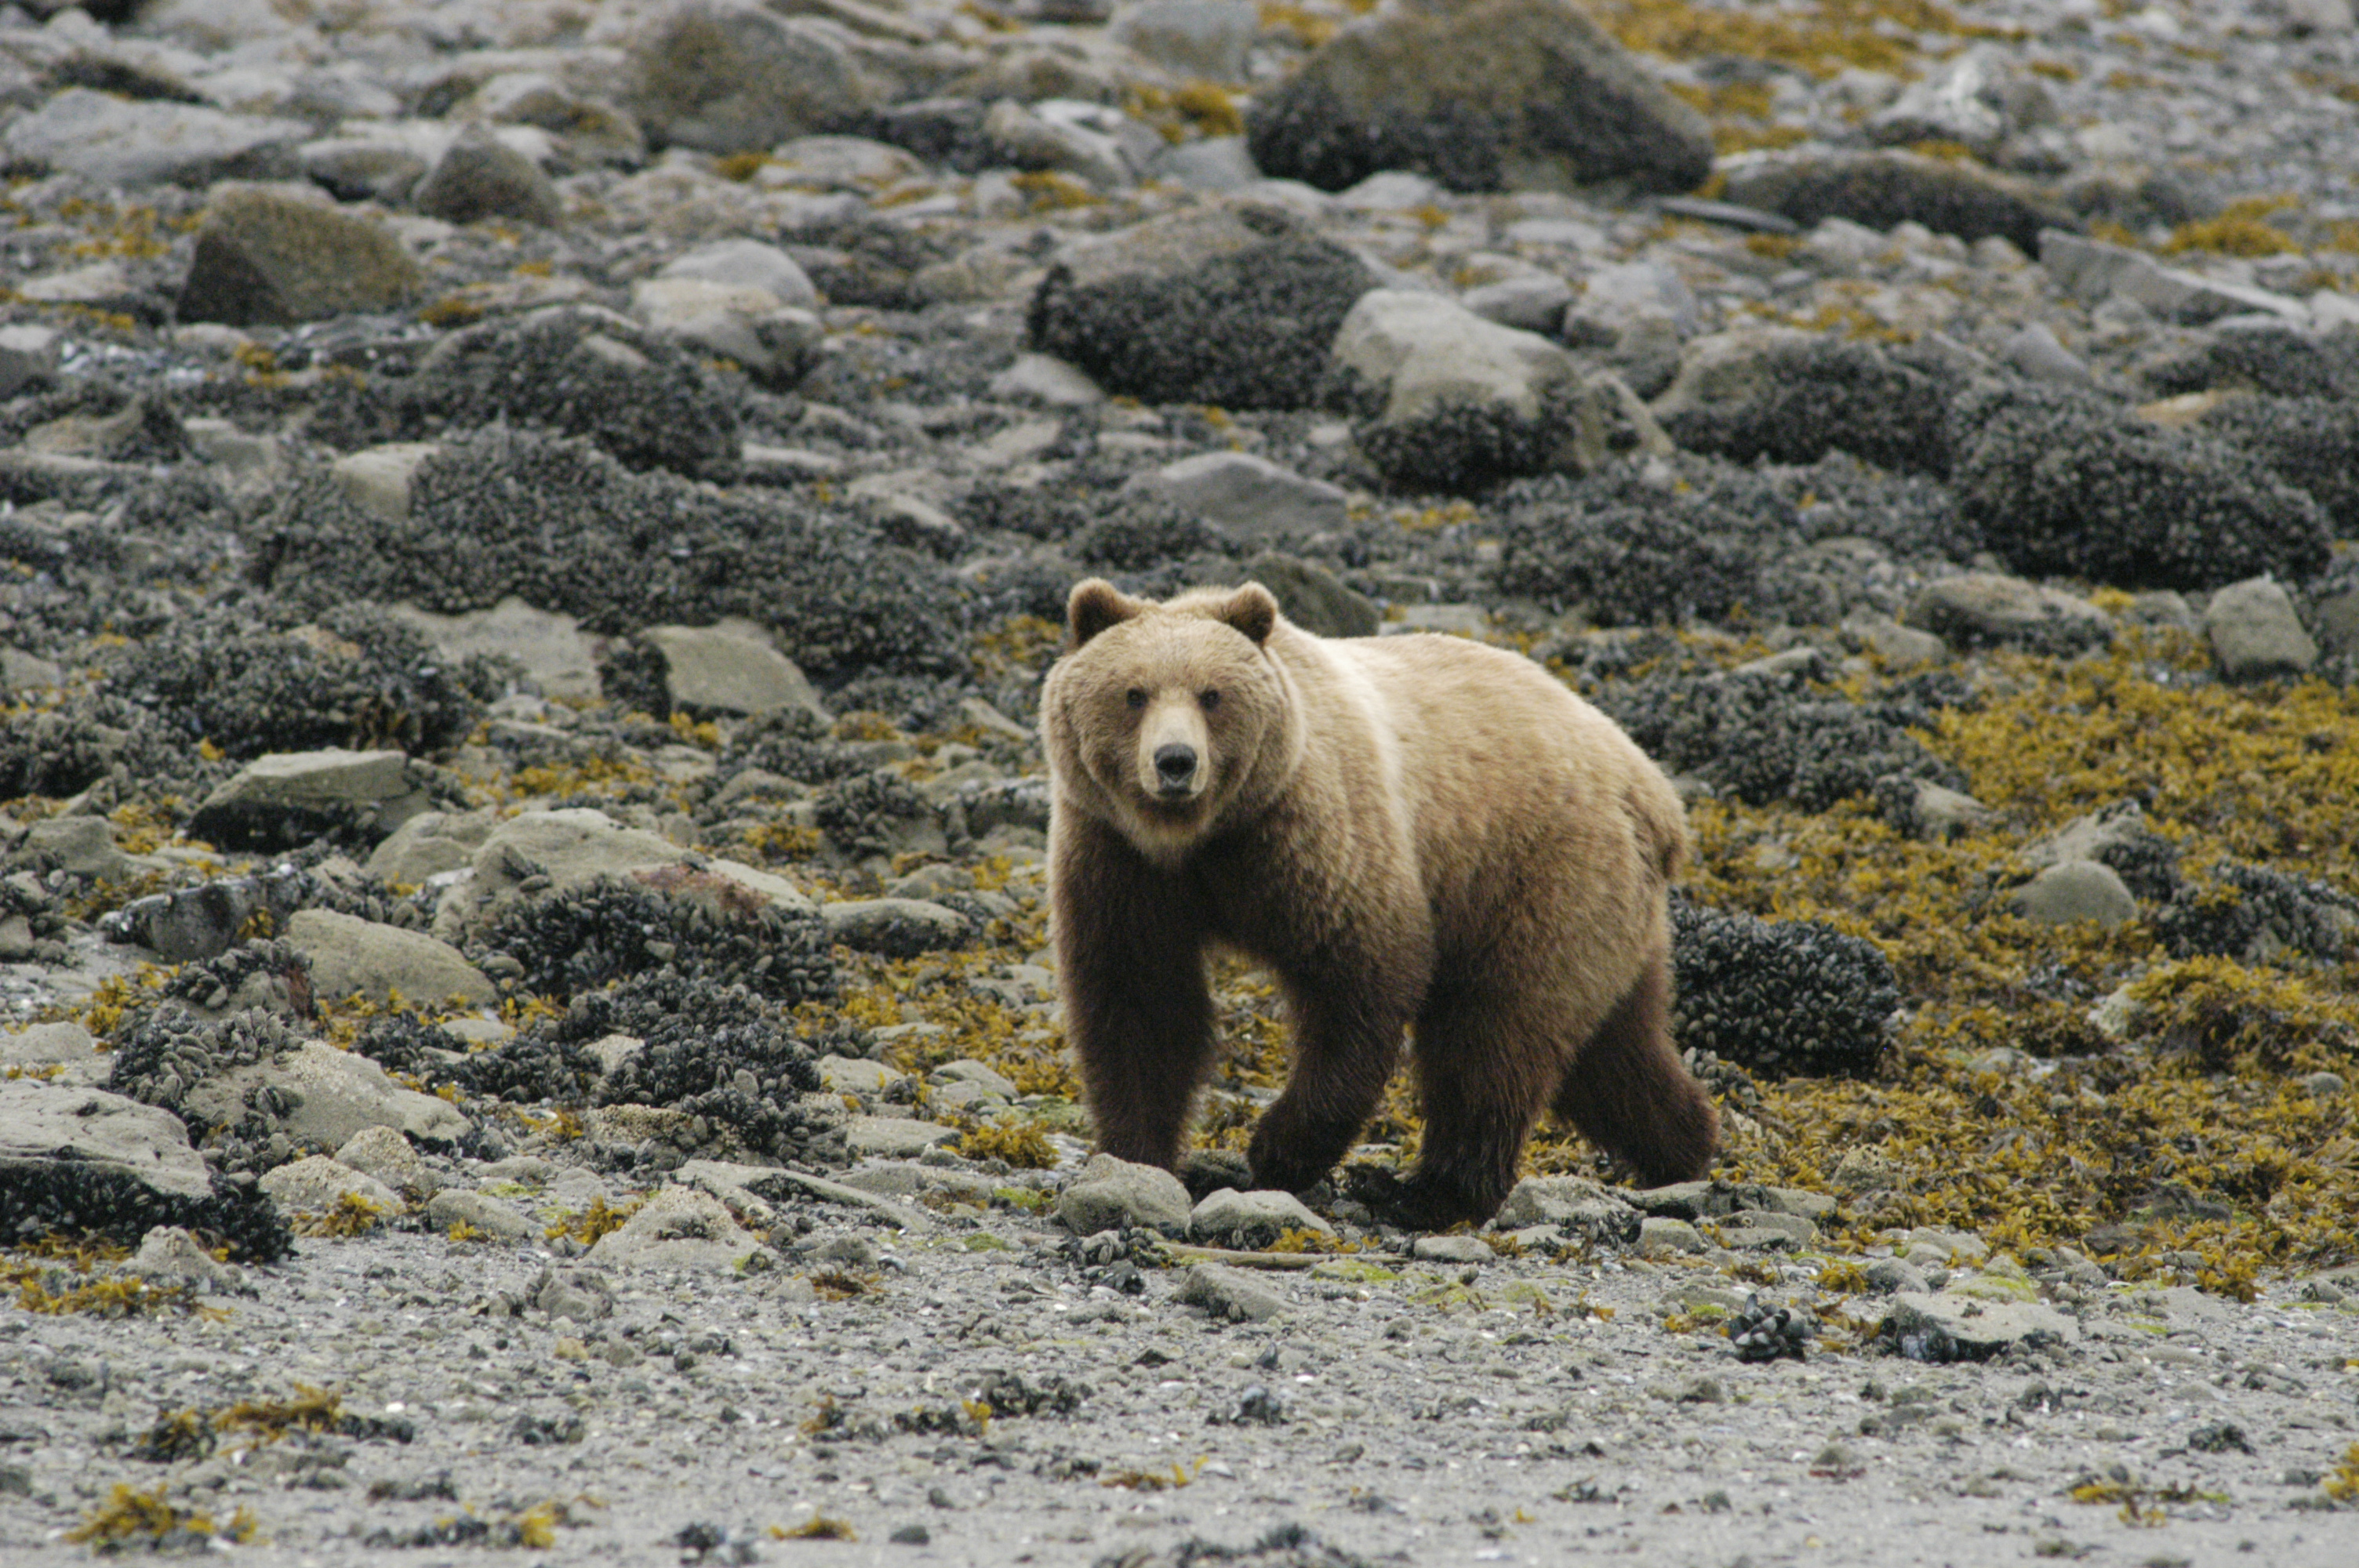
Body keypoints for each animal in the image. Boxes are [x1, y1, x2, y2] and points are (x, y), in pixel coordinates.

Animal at [1047, 575, 1717, 1225]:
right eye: (1134, 693)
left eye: (1212, 695)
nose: (1176, 762)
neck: (1201, 839)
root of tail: (1656, 796)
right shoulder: (1120, 863)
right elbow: (1140, 1002)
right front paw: (1137, 1155)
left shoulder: (1311, 839)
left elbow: (1360, 979)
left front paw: (1278, 1148)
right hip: (1608, 915)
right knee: (1616, 1051)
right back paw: (1684, 1146)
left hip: (1536, 876)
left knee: (1491, 1037)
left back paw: (1430, 1192)